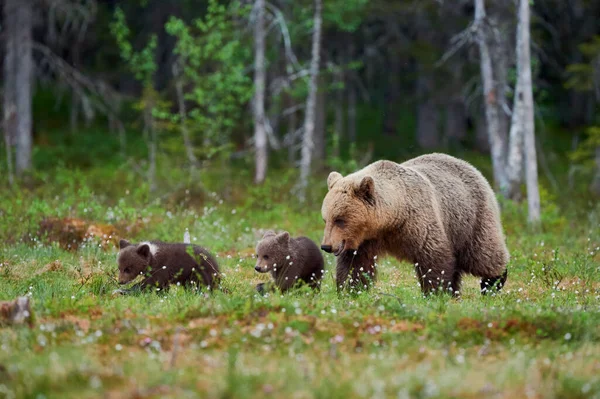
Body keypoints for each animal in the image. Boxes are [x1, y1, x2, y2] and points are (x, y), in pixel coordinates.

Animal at [322, 153, 508, 296]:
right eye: (326, 219)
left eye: (340, 219)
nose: (326, 246)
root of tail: (471, 166)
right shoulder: (365, 240)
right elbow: (354, 266)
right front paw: (350, 290)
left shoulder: (419, 223)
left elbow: (434, 258)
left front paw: (435, 293)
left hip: (470, 218)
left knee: (482, 254)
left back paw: (493, 283)